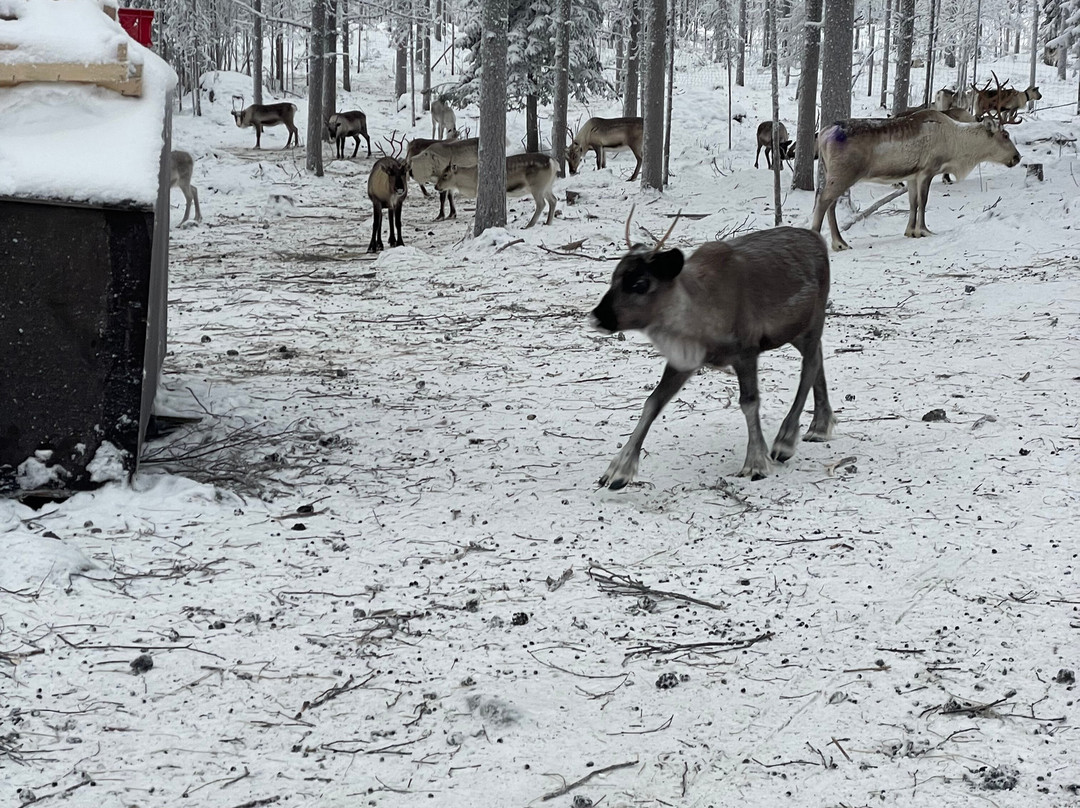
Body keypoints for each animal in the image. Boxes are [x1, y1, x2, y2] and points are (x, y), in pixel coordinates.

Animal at [591, 210, 835, 486]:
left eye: (640, 283)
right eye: (615, 276)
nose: (598, 317)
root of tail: (817, 239)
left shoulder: (746, 351)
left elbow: (749, 402)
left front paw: (755, 462)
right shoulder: (683, 360)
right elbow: (653, 402)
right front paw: (618, 471)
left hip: (813, 320)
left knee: (810, 365)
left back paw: (785, 441)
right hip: (797, 331)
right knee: (818, 357)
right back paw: (819, 426)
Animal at [811, 109, 1021, 251]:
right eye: (1005, 135)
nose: (1017, 157)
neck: (956, 145)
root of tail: (822, 135)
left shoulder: (912, 175)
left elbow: (913, 202)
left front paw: (910, 231)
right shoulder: (927, 171)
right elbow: (923, 201)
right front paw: (924, 230)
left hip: (832, 173)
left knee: (830, 203)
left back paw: (839, 242)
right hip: (844, 174)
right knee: (823, 200)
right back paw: (825, 238)